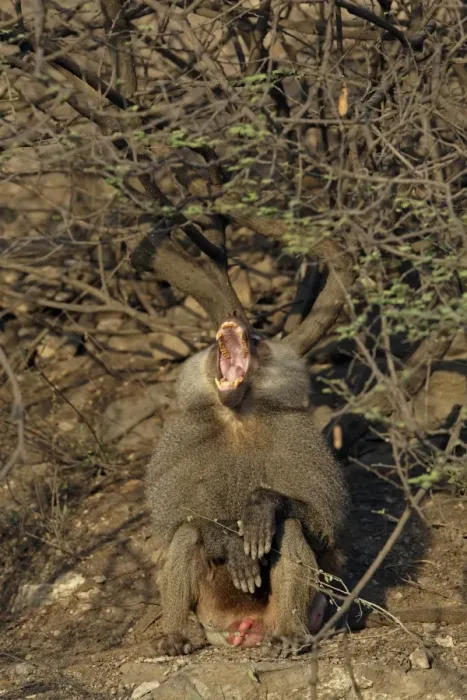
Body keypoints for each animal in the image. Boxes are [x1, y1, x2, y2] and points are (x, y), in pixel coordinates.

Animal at [146, 319, 349, 656]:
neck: (237, 417)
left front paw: (260, 508)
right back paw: (176, 637)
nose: (235, 322)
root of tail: (250, 626)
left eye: (256, 339)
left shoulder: (299, 438)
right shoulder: (179, 441)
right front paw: (233, 544)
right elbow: (177, 523)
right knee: (188, 535)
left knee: (289, 527)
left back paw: (289, 634)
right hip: (213, 614)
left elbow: (324, 529)